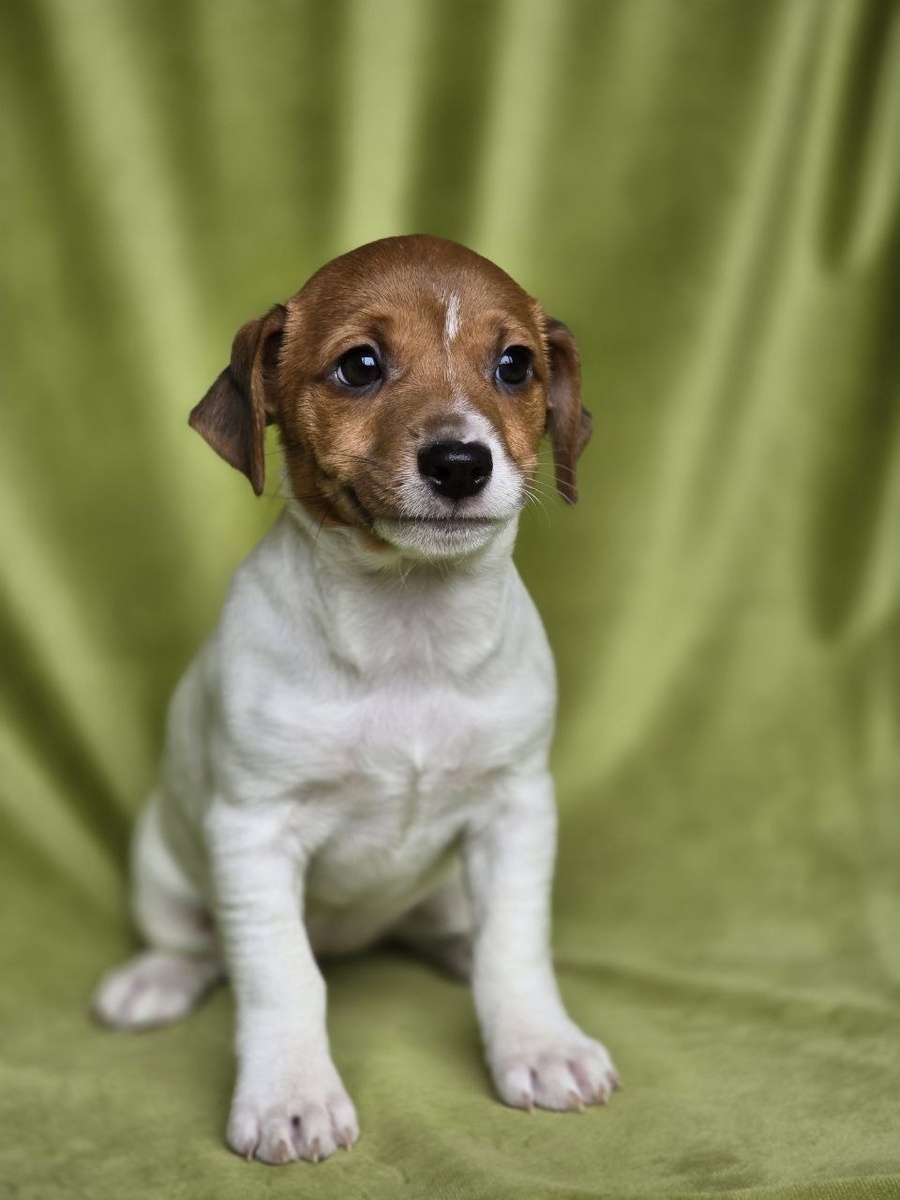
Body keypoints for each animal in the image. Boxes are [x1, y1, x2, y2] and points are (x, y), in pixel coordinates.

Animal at [92, 234, 619, 1164]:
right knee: (197, 945)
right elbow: (282, 976)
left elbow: (515, 948)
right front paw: (290, 1096)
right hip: (163, 865)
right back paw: (156, 979)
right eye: (360, 365)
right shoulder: (254, 833)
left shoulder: (516, 811)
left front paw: (539, 1044)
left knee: (462, 930)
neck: (407, 634)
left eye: (515, 364)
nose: (460, 462)